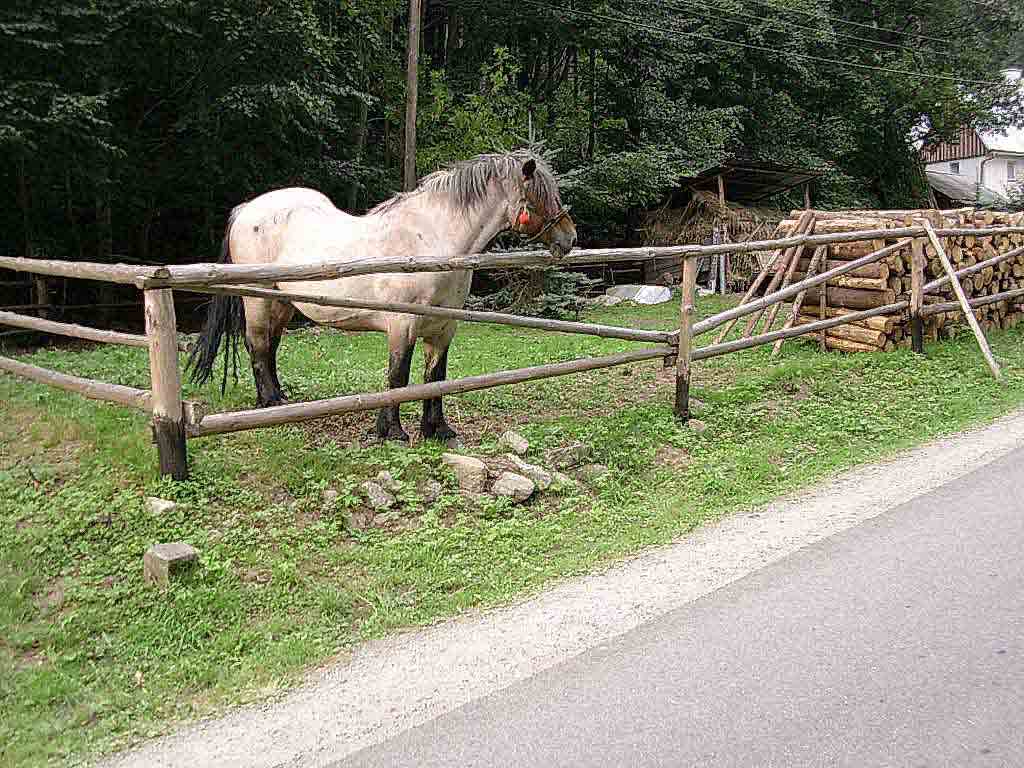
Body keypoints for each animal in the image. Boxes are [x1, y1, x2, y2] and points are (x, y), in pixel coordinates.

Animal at [184, 149, 577, 444]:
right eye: (541, 194)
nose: (569, 238)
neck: (433, 241)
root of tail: (245, 210)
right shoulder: (402, 324)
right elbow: (398, 377)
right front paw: (393, 432)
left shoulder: (444, 326)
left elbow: (436, 375)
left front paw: (438, 430)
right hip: (259, 300)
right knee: (257, 345)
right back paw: (269, 403)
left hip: (282, 303)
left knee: (270, 347)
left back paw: (280, 400)